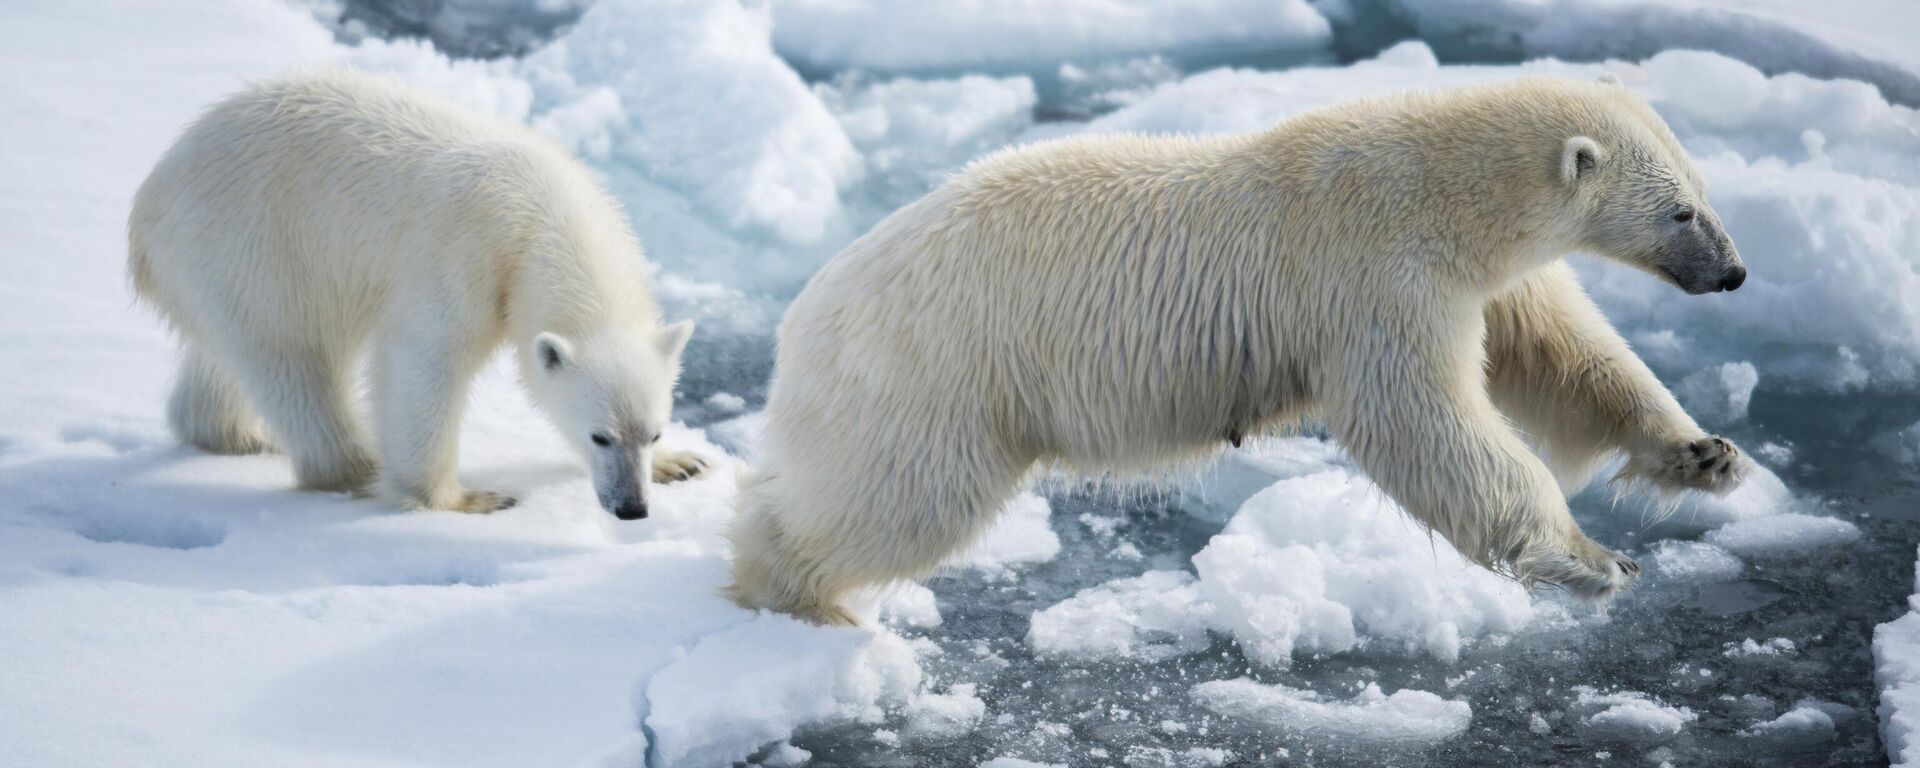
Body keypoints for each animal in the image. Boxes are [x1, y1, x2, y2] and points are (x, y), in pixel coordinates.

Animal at [131, 70, 710, 514]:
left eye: (653, 432)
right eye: (600, 436)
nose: (632, 509)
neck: (544, 215)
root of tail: (150, 202)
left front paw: (682, 463)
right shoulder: (465, 255)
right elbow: (423, 361)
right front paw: (464, 499)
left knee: (225, 356)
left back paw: (236, 433)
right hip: (253, 241)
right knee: (294, 358)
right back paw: (355, 466)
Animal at [733, 76, 1758, 622]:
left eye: (1704, 190)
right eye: (1681, 211)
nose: (1736, 273)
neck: (1439, 188)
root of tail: (806, 310)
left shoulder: (1484, 280)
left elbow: (1566, 359)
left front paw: (1705, 454)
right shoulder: (1373, 276)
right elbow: (1425, 422)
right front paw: (1594, 558)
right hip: (936, 369)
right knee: (903, 495)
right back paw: (792, 590)